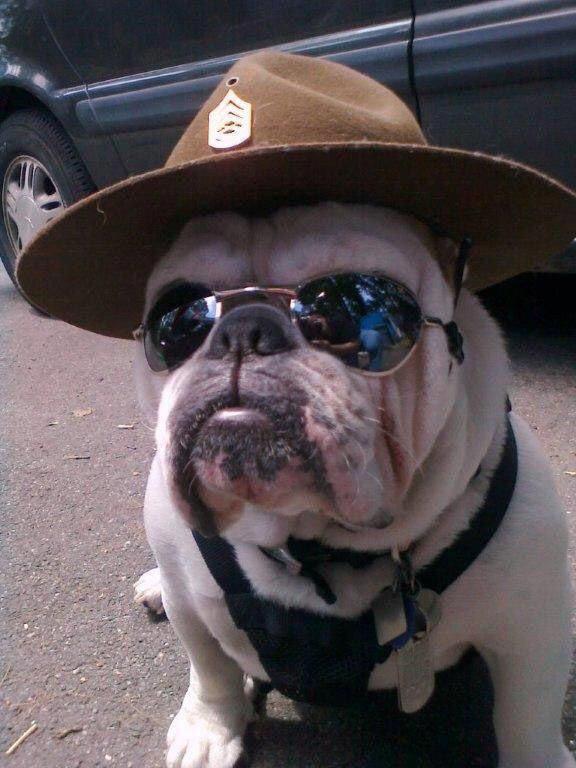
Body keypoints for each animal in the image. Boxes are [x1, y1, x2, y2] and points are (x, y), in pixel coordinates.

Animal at [132, 202, 576, 768]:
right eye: (176, 321)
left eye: (343, 312)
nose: (243, 329)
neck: (311, 548)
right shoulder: (190, 603)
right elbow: (211, 669)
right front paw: (210, 728)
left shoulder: (532, 626)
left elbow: (527, 718)